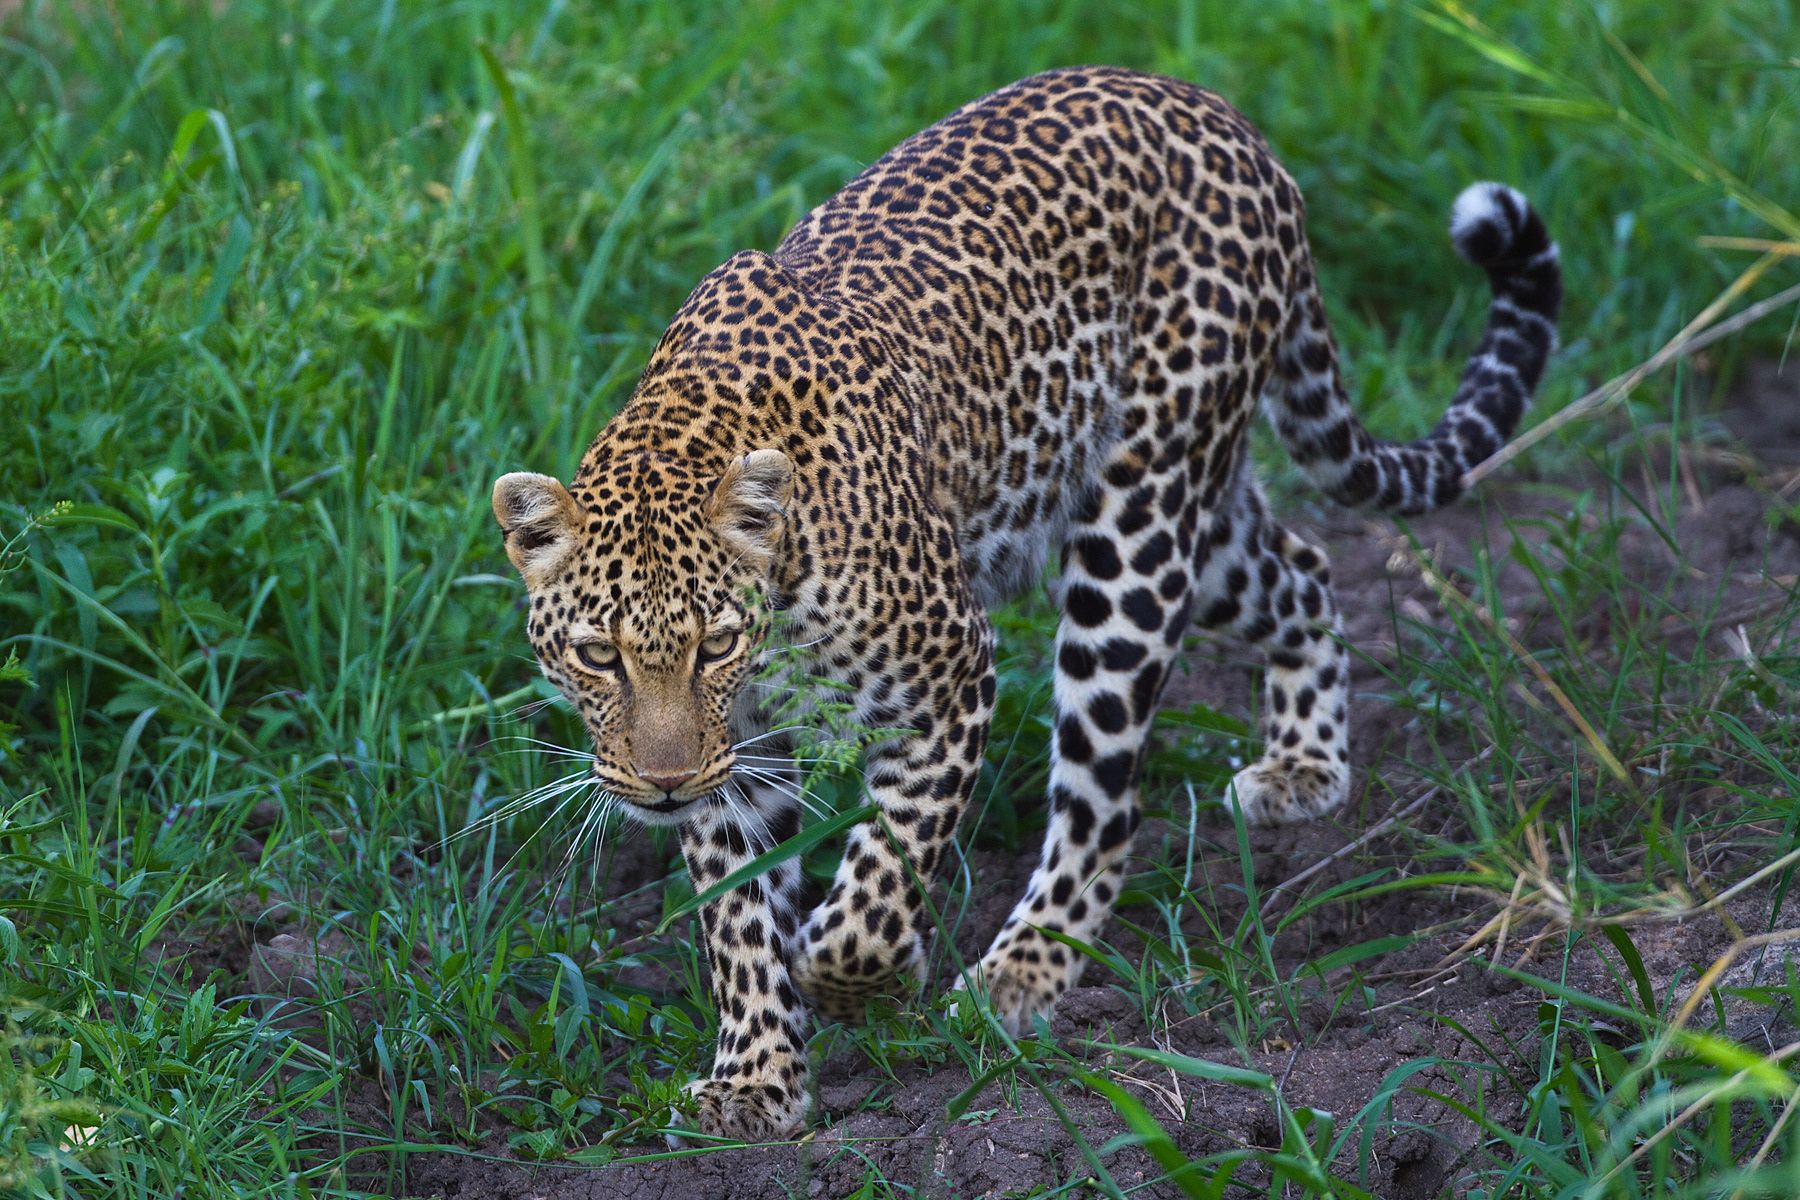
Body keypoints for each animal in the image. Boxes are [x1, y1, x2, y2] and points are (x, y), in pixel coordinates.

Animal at [489, 65, 1561, 1143]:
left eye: (713, 645)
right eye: (595, 654)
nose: (661, 786)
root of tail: (1222, 115)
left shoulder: (947, 683)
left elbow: (881, 879)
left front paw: (865, 981)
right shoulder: (733, 751)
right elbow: (738, 920)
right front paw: (758, 1079)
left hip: (1136, 532)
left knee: (1104, 807)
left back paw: (1019, 974)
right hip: (1202, 530)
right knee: (1301, 566)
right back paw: (1306, 766)